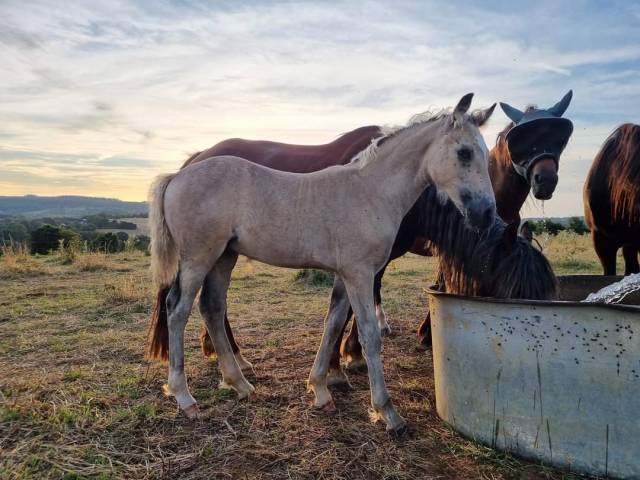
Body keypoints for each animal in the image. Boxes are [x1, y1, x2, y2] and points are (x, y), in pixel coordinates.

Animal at [149, 94, 496, 432]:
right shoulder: (360, 273)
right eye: (465, 152)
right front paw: (386, 412)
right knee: (177, 310)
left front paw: (320, 389)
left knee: (212, 307)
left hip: (224, 256)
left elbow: (333, 323)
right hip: (198, 258)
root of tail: (178, 175)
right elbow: (369, 335)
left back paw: (240, 384)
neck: (370, 192)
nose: (486, 214)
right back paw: (184, 396)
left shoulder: (345, 275)